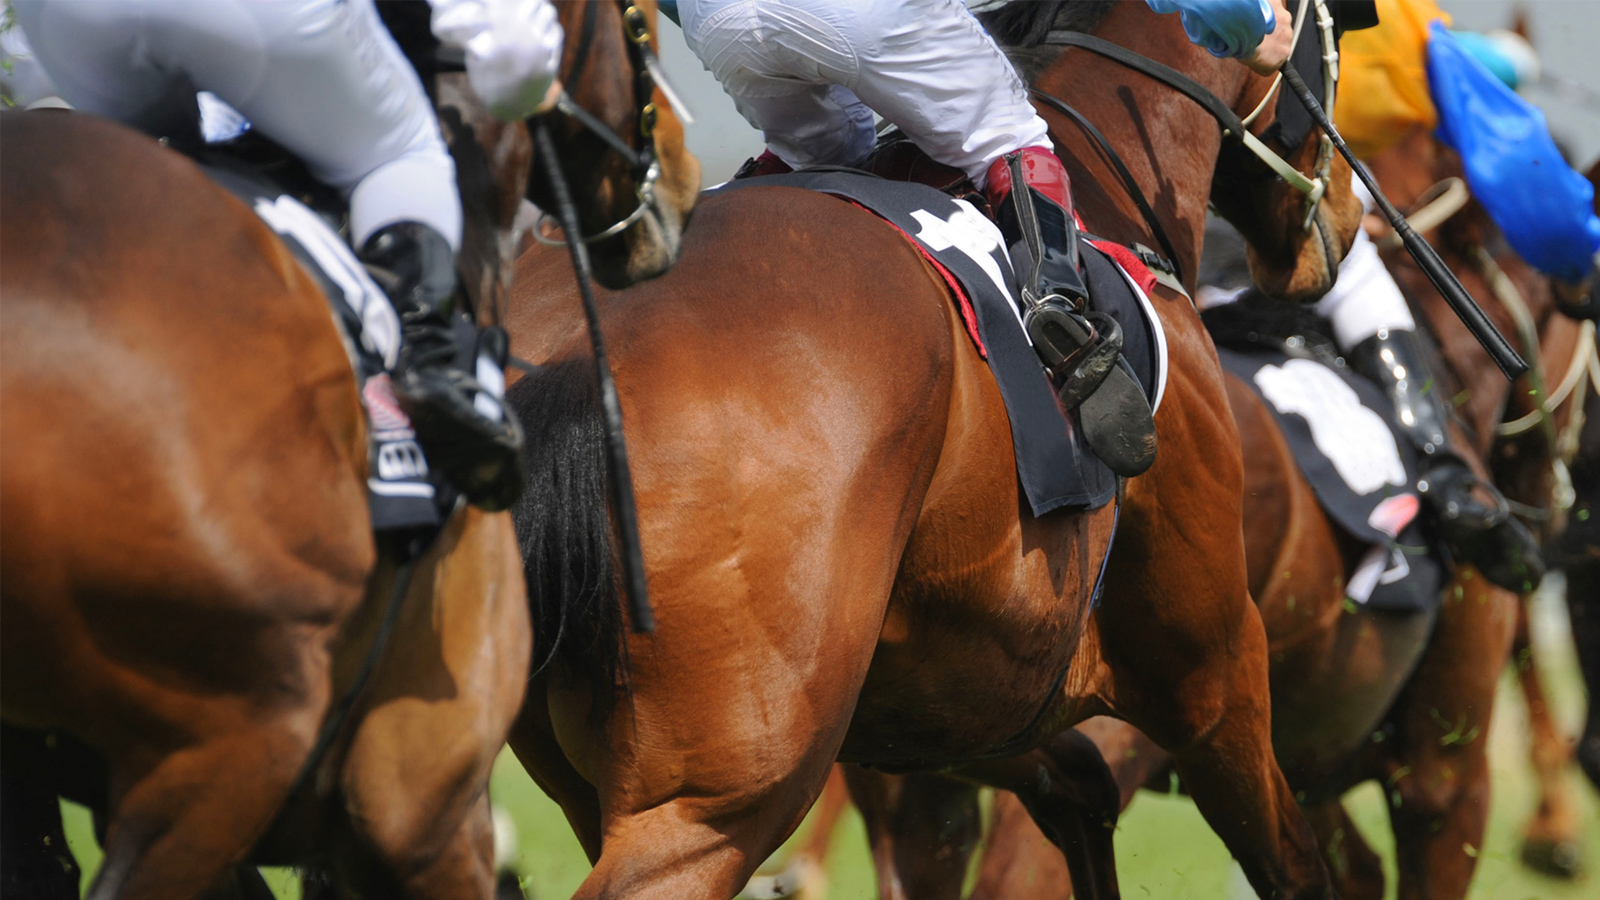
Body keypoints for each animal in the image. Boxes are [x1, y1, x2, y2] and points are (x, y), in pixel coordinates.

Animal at [502, 1, 1361, 897]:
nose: (1341, 219)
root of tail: (575, 358)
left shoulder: (942, 701)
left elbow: (1078, 785)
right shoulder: (1212, 668)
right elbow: (1293, 862)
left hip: (597, 779)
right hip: (720, 796)